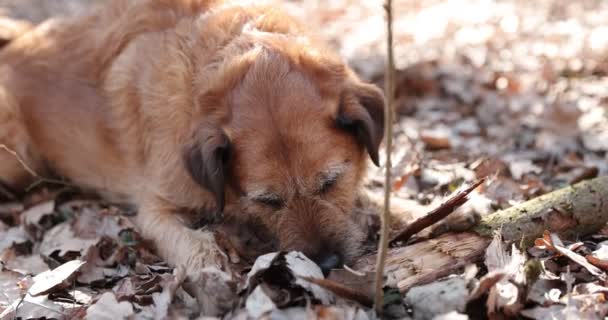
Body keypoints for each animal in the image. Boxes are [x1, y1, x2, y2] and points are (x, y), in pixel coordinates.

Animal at [0, 0, 384, 292]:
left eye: (331, 182)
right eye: (267, 201)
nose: (328, 263)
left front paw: (391, 207)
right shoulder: (155, 207)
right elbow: (187, 240)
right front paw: (209, 264)